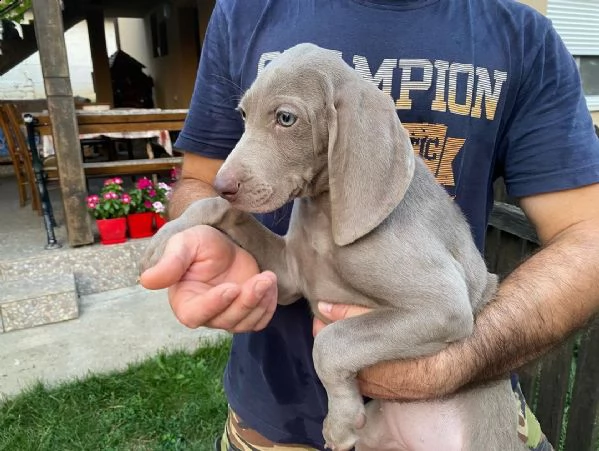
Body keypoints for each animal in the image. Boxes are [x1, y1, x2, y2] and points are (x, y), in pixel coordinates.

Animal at [142, 43, 528, 451]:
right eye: (244, 115)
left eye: (286, 118)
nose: (222, 183)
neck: (325, 214)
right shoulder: (290, 276)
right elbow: (218, 209)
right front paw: (164, 240)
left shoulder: (444, 306)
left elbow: (330, 340)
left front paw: (339, 421)